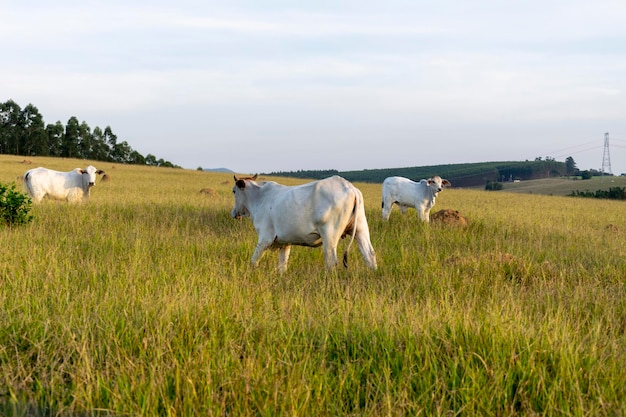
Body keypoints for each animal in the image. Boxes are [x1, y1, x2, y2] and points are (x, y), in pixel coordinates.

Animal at [229, 173, 376, 272]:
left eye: (234, 191)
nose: (234, 213)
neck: (259, 197)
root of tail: (350, 187)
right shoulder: (285, 242)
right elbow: (282, 267)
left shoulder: (265, 238)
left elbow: (254, 260)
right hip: (360, 229)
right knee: (369, 255)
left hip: (330, 236)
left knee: (331, 261)